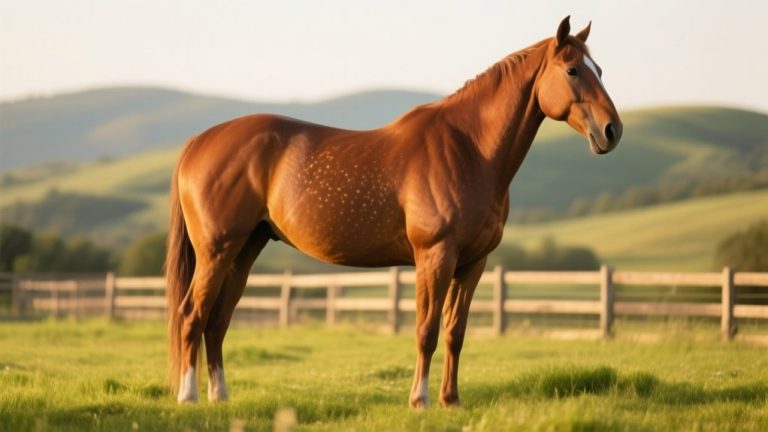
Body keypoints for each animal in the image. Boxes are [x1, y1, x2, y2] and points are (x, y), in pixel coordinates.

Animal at [166, 16, 622, 407]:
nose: (612, 131)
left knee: (216, 322)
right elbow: (426, 330)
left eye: (599, 69)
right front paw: (420, 400)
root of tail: (198, 142)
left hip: (245, 250)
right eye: (573, 71)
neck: (469, 150)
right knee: (191, 315)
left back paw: (220, 397)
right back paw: (188, 396)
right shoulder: (435, 256)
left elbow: (455, 333)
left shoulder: (473, 263)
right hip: (216, 250)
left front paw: (451, 400)